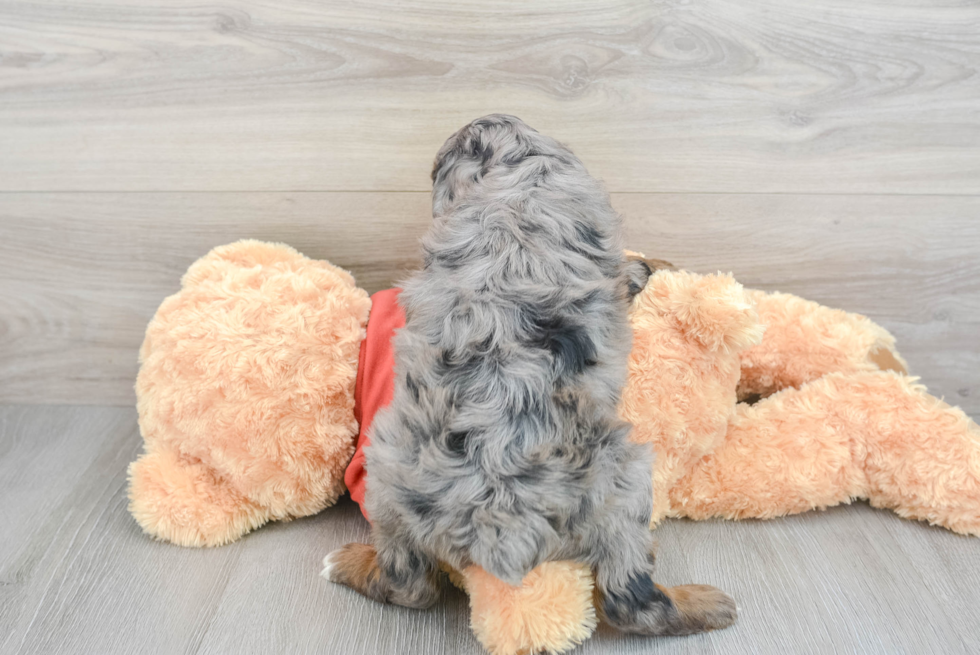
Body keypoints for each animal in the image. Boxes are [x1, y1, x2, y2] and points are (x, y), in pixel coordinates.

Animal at [322, 113, 736, 636]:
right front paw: (651, 266)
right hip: (626, 481)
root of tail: (499, 520)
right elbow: (626, 272)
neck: (512, 177)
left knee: (410, 585)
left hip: (389, 476)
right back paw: (701, 602)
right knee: (631, 603)